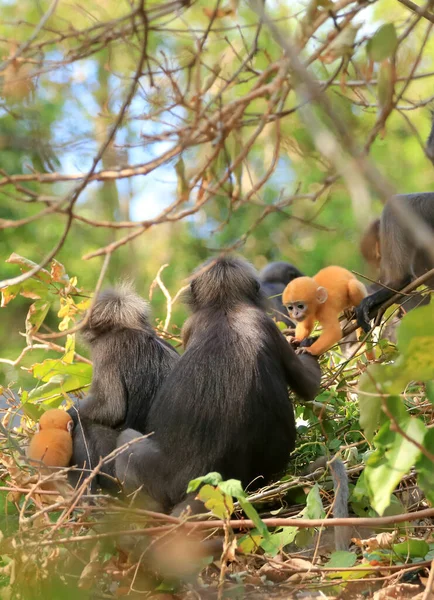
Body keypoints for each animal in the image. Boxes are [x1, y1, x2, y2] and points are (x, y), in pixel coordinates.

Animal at [115, 258, 322, 516]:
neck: (226, 306)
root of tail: (206, 479)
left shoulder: (192, 325)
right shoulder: (266, 323)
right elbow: (309, 385)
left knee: (125, 440)